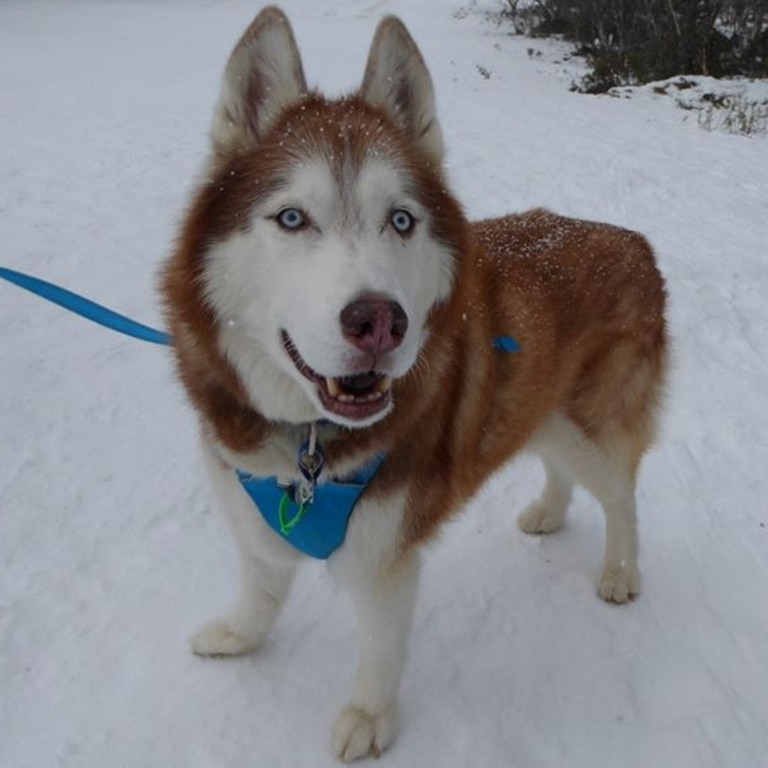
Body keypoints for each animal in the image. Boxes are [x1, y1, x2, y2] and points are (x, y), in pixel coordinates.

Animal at [160, 7, 664, 760]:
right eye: (291, 217)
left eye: (400, 220)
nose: (380, 322)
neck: (310, 448)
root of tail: (634, 241)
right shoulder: (248, 501)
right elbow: (261, 585)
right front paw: (241, 635)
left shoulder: (383, 553)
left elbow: (380, 646)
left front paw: (370, 717)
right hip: (541, 410)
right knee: (556, 462)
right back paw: (548, 511)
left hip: (590, 426)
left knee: (622, 496)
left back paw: (621, 571)